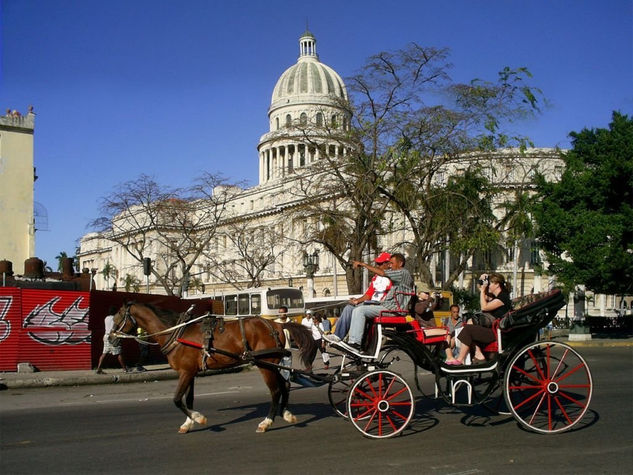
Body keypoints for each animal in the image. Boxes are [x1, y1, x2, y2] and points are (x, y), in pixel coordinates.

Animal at [111, 304, 316, 436]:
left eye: (118, 317)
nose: (111, 338)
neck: (177, 333)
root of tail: (277, 324)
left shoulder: (185, 373)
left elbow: (177, 399)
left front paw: (198, 418)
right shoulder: (190, 372)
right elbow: (188, 398)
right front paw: (188, 423)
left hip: (265, 364)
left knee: (275, 391)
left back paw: (267, 422)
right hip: (272, 364)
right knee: (285, 385)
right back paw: (286, 413)